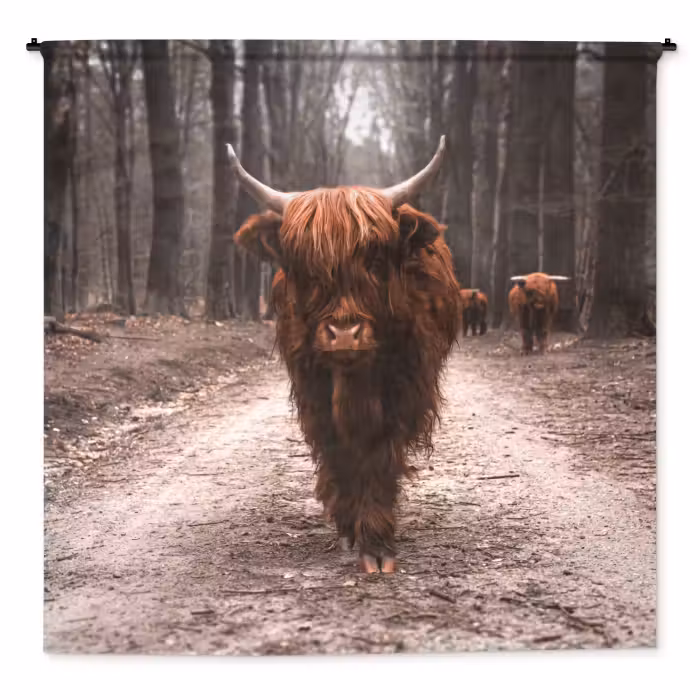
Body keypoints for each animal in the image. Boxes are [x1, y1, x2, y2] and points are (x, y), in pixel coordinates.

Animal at [228, 136, 461, 574]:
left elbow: (379, 454)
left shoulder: (403, 391)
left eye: (374, 259)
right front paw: (350, 525)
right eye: (304, 265)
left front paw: (377, 542)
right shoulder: (313, 392)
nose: (344, 335)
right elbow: (338, 451)